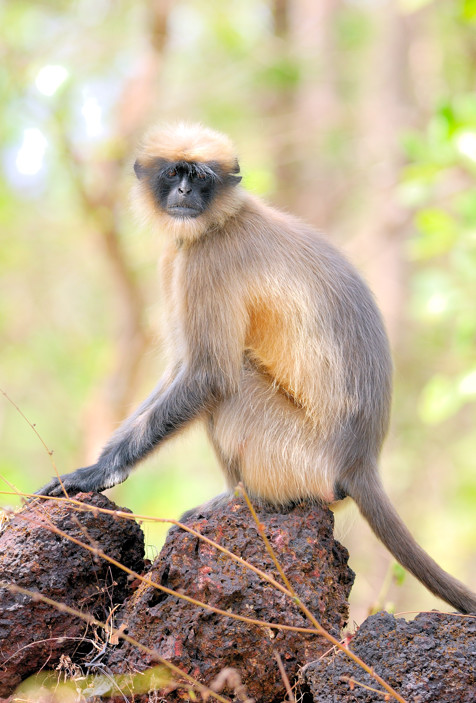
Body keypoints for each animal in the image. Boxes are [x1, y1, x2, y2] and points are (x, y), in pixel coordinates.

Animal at [36, 122, 476, 616]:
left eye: (200, 177)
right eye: (174, 173)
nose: (185, 191)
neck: (223, 220)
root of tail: (359, 459)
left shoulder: (207, 259)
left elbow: (208, 375)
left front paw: (98, 472)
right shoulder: (180, 257)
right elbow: (182, 367)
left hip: (296, 456)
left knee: (233, 383)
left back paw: (241, 499)